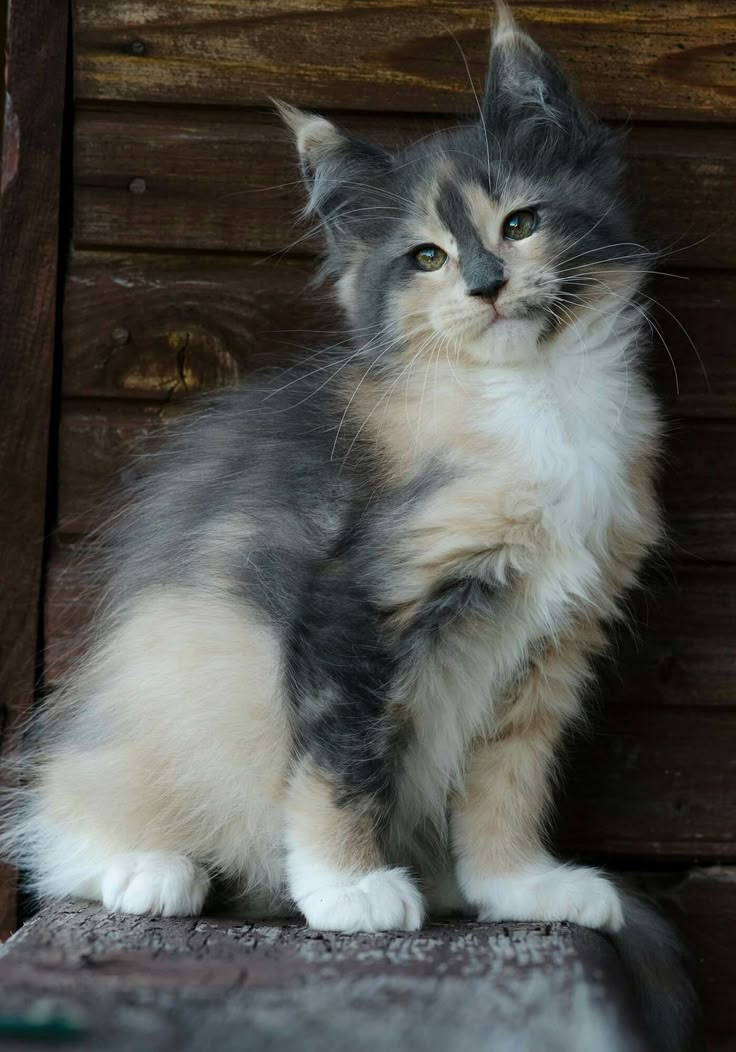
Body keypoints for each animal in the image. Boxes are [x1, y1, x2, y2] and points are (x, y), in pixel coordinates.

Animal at [5, 4, 689, 1047]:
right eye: (427, 258)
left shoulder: (549, 645)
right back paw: (149, 869)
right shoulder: (349, 601)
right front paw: (349, 891)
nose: (487, 283)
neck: (534, 400)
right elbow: (341, 759)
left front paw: (518, 886)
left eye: (521, 223)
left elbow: (509, 779)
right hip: (165, 690)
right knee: (66, 817)